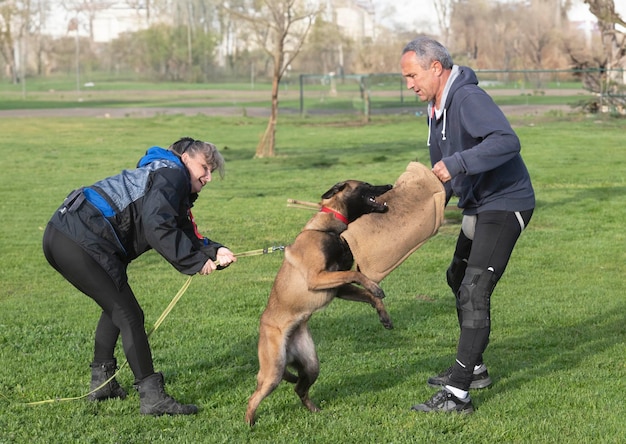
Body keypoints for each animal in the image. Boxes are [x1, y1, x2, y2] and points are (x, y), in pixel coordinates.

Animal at [243, 180, 390, 426]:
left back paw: (314, 410)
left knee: (299, 389)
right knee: (254, 397)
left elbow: (364, 291)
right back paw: (249, 423)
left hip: (311, 364)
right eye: (366, 185)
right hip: (274, 369)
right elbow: (356, 274)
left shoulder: (337, 286)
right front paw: (375, 286)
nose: (388, 184)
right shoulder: (317, 277)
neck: (329, 230)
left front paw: (383, 313)